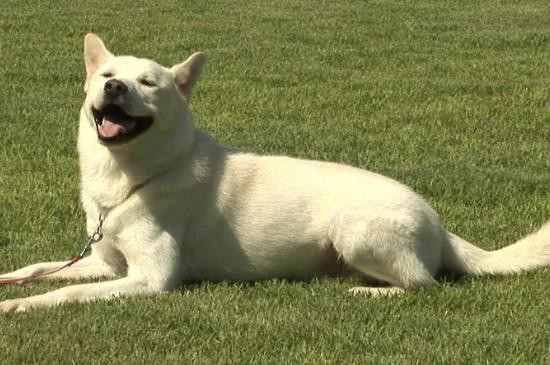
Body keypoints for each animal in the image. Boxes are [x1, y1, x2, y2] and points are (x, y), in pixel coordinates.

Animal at [1, 34, 550, 312]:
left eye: (149, 83)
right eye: (106, 76)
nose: (114, 88)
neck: (129, 177)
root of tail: (438, 223)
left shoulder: (151, 280)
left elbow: (67, 290)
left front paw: (22, 306)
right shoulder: (110, 265)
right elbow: (39, 268)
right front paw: (10, 282)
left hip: (354, 228)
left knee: (425, 285)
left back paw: (369, 291)